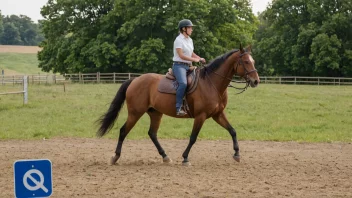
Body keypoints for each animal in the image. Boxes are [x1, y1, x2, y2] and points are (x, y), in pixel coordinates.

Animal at [96, 44, 258, 166]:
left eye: (253, 61)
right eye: (246, 62)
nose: (256, 81)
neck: (211, 83)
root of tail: (134, 80)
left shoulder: (218, 115)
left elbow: (232, 131)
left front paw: (237, 154)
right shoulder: (201, 116)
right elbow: (193, 137)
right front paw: (185, 158)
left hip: (155, 113)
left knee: (152, 134)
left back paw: (165, 157)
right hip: (135, 113)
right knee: (123, 131)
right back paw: (115, 157)